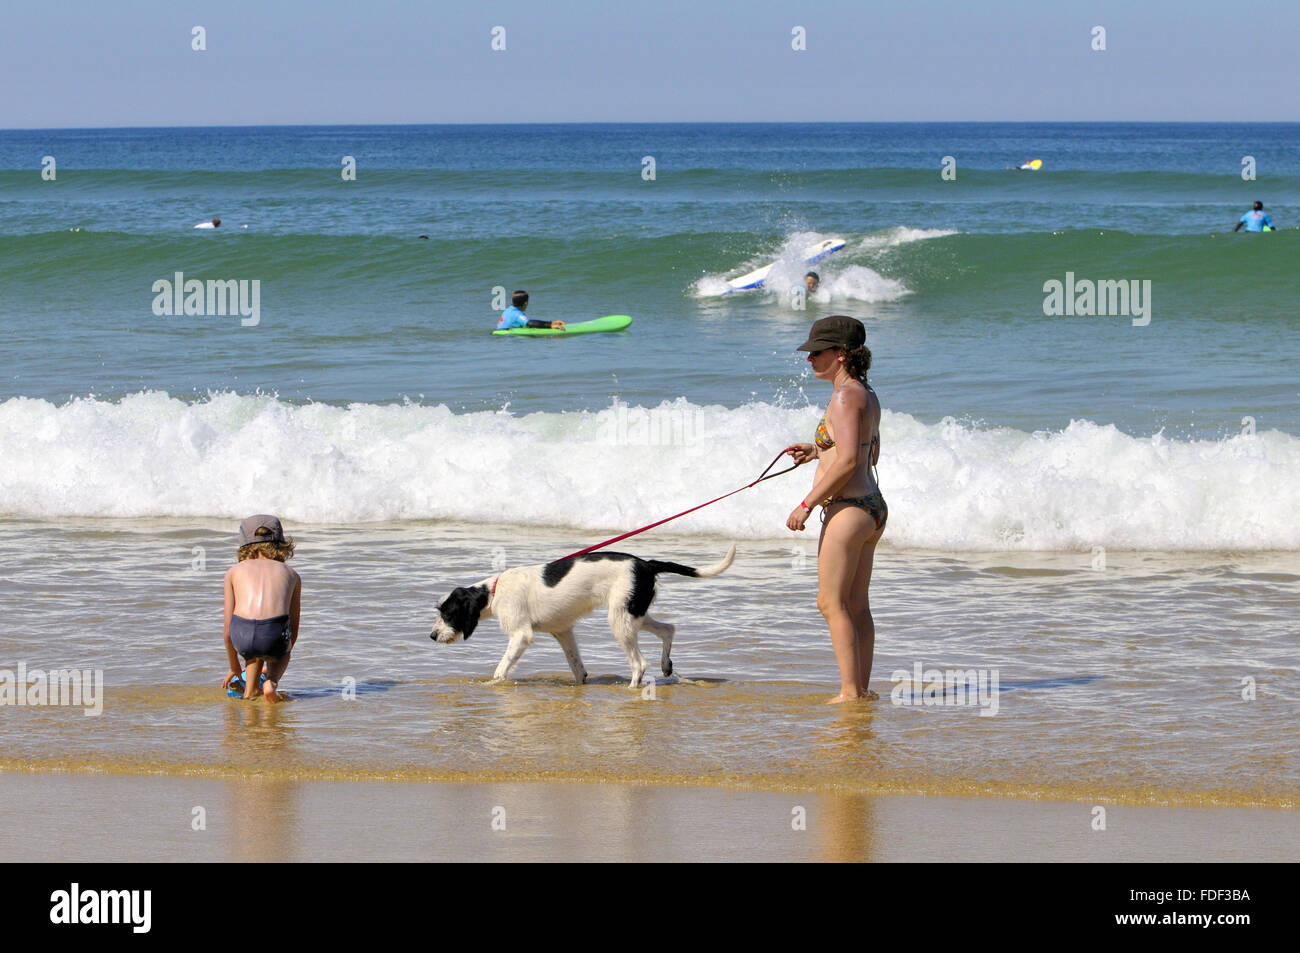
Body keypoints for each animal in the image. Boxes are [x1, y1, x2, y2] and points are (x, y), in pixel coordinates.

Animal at [431, 543, 738, 686]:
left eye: (447, 613)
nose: (432, 635)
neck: (493, 591)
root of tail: (646, 564)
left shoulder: (520, 635)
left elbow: (500, 669)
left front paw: (492, 684)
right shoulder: (563, 631)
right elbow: (577, 667)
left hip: (621, 620)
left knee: (639, 663)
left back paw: (632, 689)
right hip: (633, 614)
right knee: (668, 629)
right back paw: (666, 666)